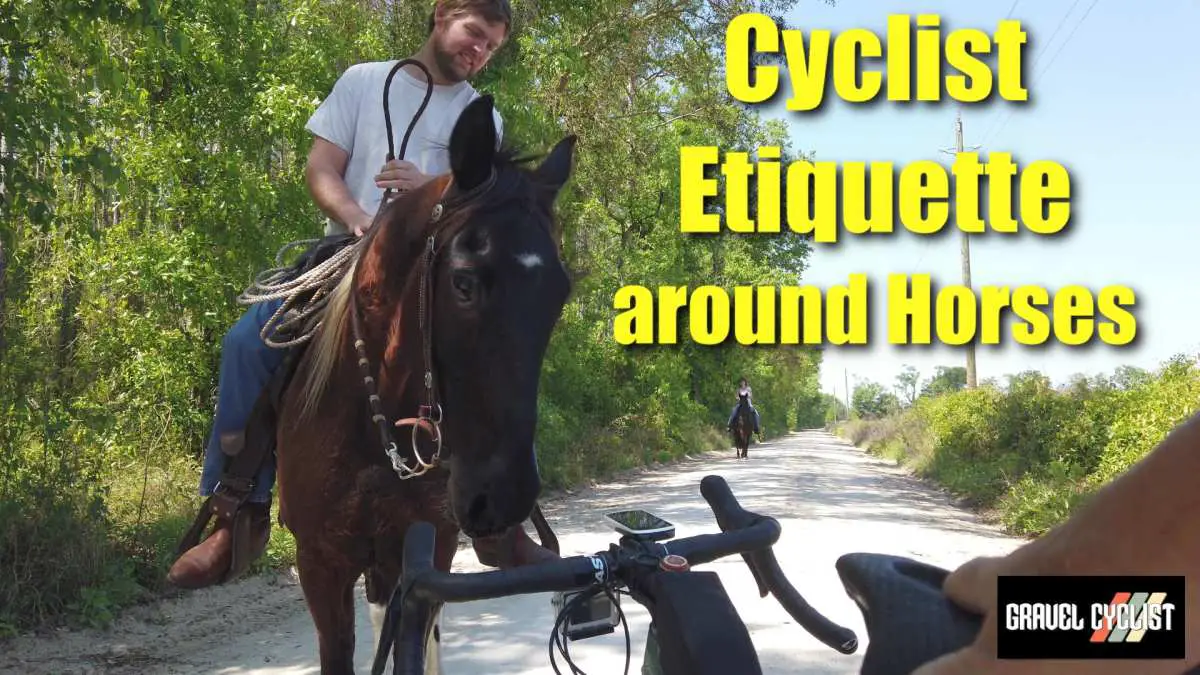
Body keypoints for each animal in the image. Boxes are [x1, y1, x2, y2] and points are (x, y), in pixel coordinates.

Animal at [270, 95, 576, 675]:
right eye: (463, 283)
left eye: (560, 294)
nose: (503, 496)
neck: (374, 429)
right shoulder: (321, 562)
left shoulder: (426, 550)